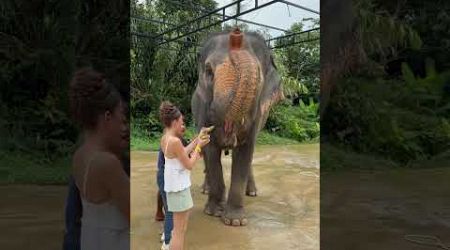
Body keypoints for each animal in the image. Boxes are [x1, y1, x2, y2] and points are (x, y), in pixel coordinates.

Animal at [191, 28, 284, 226]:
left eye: (259, 77)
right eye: (209, 71)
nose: (236, 32)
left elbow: (245, 151)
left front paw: (235, 222)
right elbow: (211, 150)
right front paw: (213, 213)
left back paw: (252, 193)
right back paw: (205, 189)